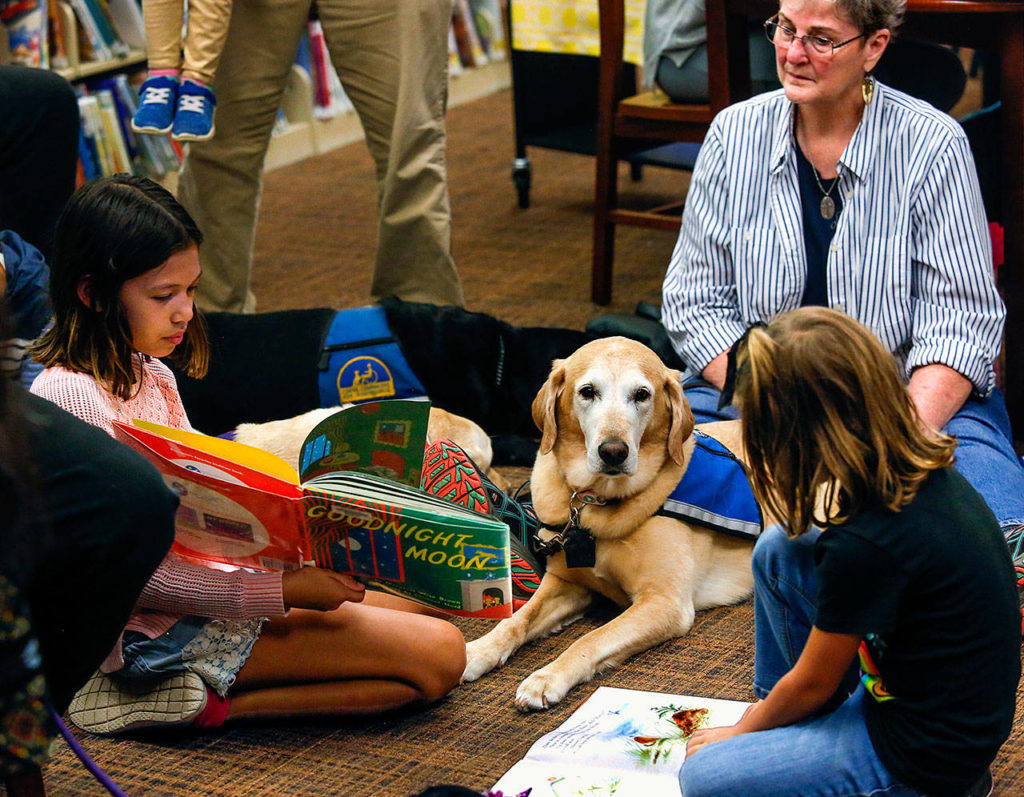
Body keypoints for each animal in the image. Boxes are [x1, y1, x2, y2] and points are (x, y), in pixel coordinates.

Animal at [460, 336, 757, 708]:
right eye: (587, 391)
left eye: (642, 394)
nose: (613, 451)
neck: (595, 502)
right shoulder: (565, 582)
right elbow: (517, 619)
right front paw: (478, 650)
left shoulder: (663, 602)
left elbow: (592, 638)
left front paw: (547, 677)